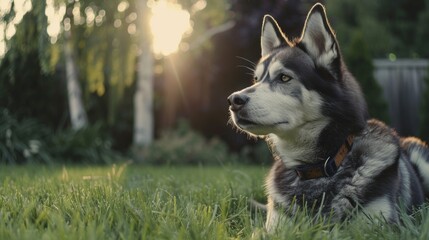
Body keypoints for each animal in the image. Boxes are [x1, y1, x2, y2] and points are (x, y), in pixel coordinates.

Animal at [227, 2, 428, 232]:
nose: (233, 100)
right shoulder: (274, 228)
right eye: (256, 79)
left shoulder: (384, 227)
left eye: (284, 77)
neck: (317, 167)